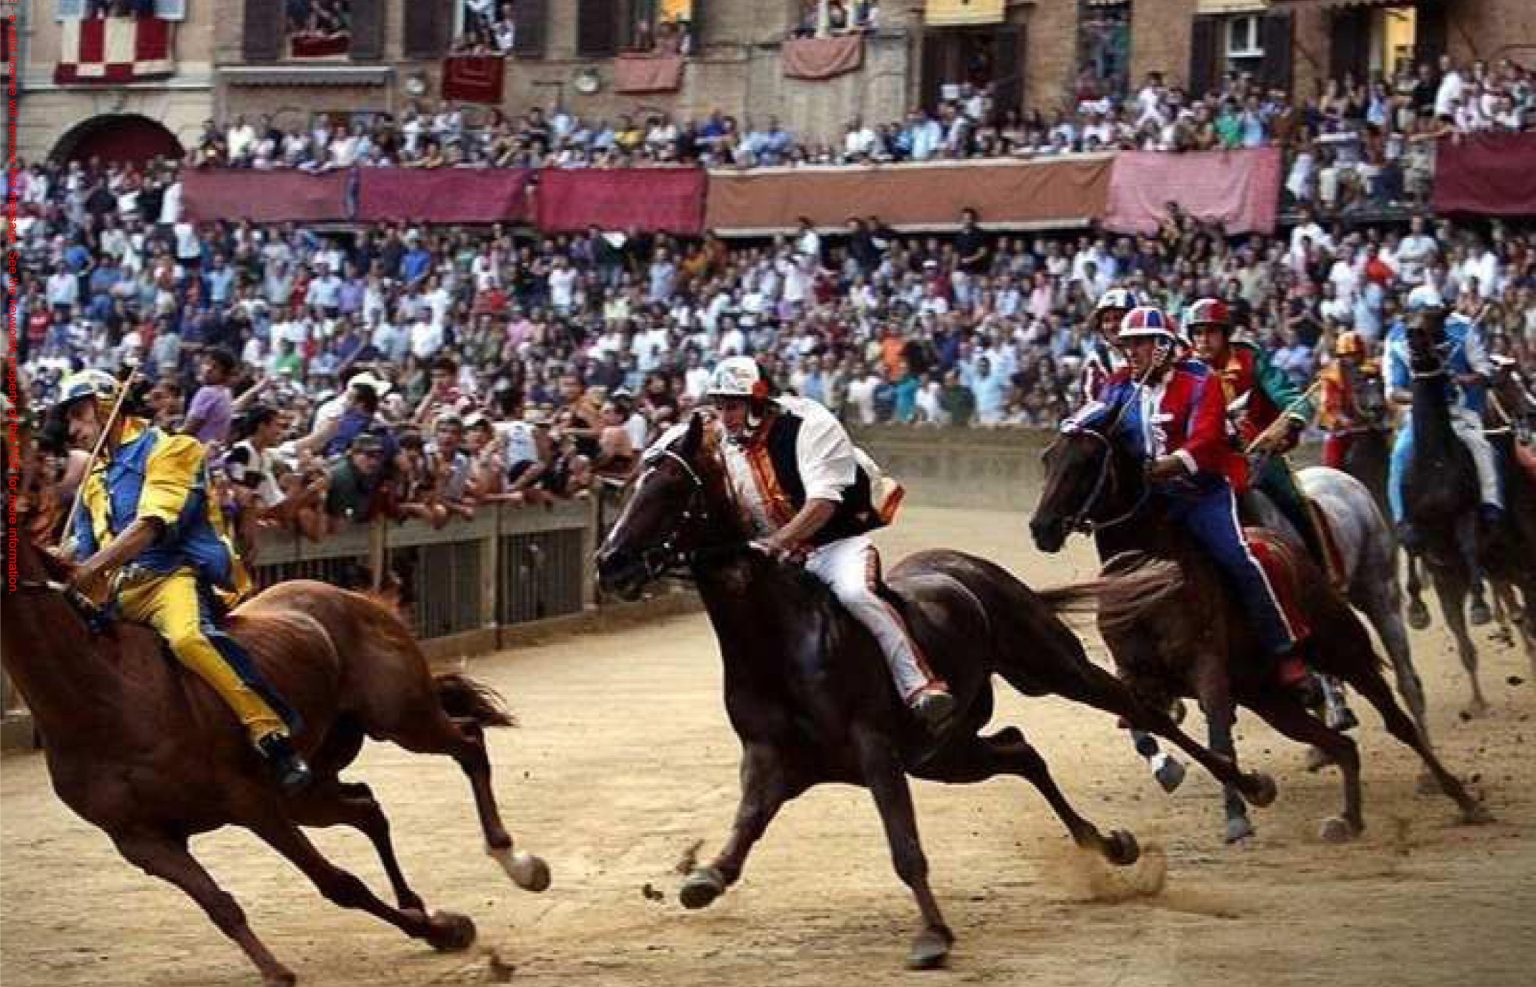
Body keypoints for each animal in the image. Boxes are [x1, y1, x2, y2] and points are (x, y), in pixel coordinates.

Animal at [0, 475, 552, 982]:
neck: (106, 701)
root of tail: (349, 596)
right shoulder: (141, 839)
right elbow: (221, 905)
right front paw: (435, 927)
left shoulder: (251, 801)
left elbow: (337, 883)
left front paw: (436, 925)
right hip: (311, 786)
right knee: (367, 806)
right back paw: (427, 906)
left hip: (400, 718)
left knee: (468, 742)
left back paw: (517, 861)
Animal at [592, 411, 1277, 970]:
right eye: (632, 482)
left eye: (672, 487)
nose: (610, 562)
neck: (779, 641)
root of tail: (971, 568)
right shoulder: (772, 759)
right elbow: (743, 832)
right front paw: (702, 876)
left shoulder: (875, 749)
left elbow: (905, 847)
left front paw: (933, 935)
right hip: (944, 752)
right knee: (1019, 748)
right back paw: (1109, 843)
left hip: (1052, 666)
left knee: (1139, 711)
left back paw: (1247, 789)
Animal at [1026, 420, 1492, 847]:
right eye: (1048, 458)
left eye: (1087, 461)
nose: (1041, 527)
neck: (1148, 575)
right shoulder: (1135, 673)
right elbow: (1143, 727)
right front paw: (1170, 768)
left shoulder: (1207, 668)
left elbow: (1218, 737)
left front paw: (1237, 816)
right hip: (1269, 698)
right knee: (1342, 745)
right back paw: (1348, 817)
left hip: (1353, 639)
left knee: (1399, 715)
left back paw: (1459, 796)